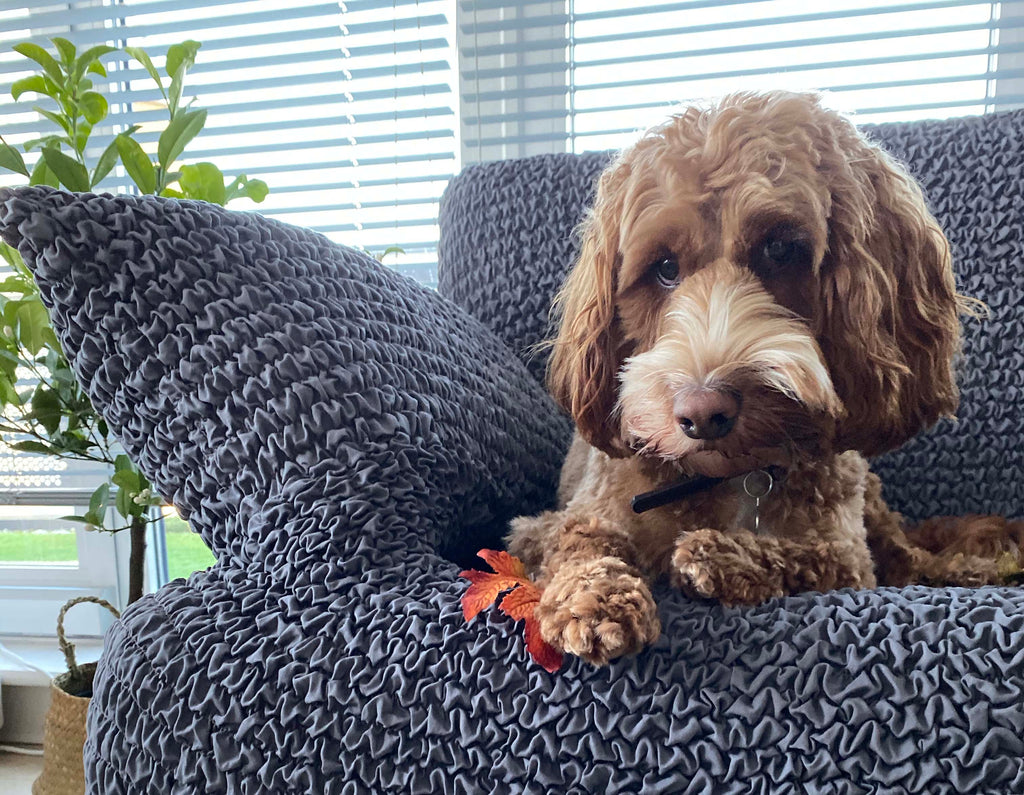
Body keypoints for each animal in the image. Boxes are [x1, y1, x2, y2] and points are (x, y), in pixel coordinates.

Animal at [505, 91, 1024, 663]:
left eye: (779, 249)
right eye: (664, 267)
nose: (703, 412)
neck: (729, 476)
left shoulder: (846, 553)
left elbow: (808, 556)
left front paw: (719, 555)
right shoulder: (568, 519)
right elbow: (580, 543)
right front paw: (596, 597)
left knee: (911, 558)